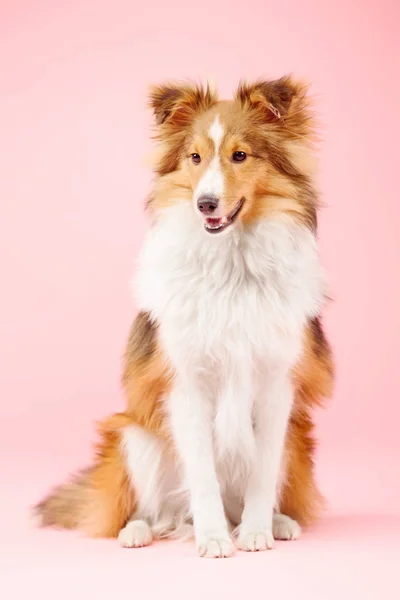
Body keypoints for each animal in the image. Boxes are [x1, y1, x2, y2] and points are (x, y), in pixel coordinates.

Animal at [33, 76, 334, 556]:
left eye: (240, 155)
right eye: (194, 157)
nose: (205, 204)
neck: (232, 266)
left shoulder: (276, 385)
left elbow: (262, 475)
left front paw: (255, 533)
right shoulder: (186, 383)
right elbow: (203, 477)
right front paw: (213, 540)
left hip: (297, 437)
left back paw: (275, 522)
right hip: (133, 437)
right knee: (159, 514)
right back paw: (141, 531)